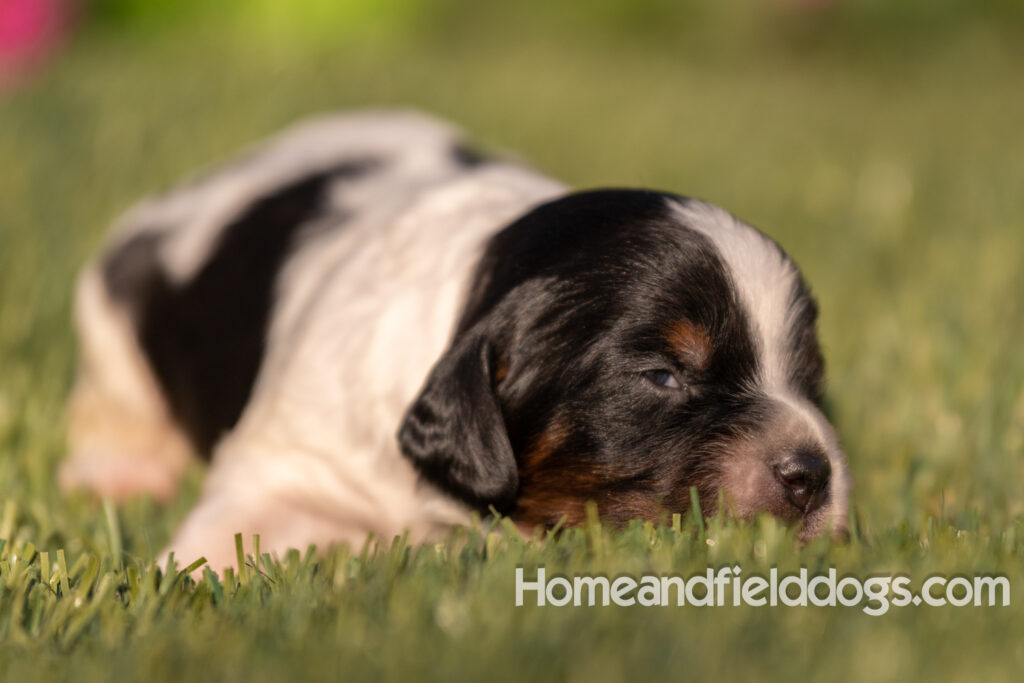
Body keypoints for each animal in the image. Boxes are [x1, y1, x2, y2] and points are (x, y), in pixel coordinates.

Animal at [61, 111, 847, 573]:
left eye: (809, 375)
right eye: (662, 376)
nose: (813, 475)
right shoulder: (288, 463)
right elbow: (227, 533)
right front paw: (176, 582)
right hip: (109, 314)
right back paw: (117, 471)